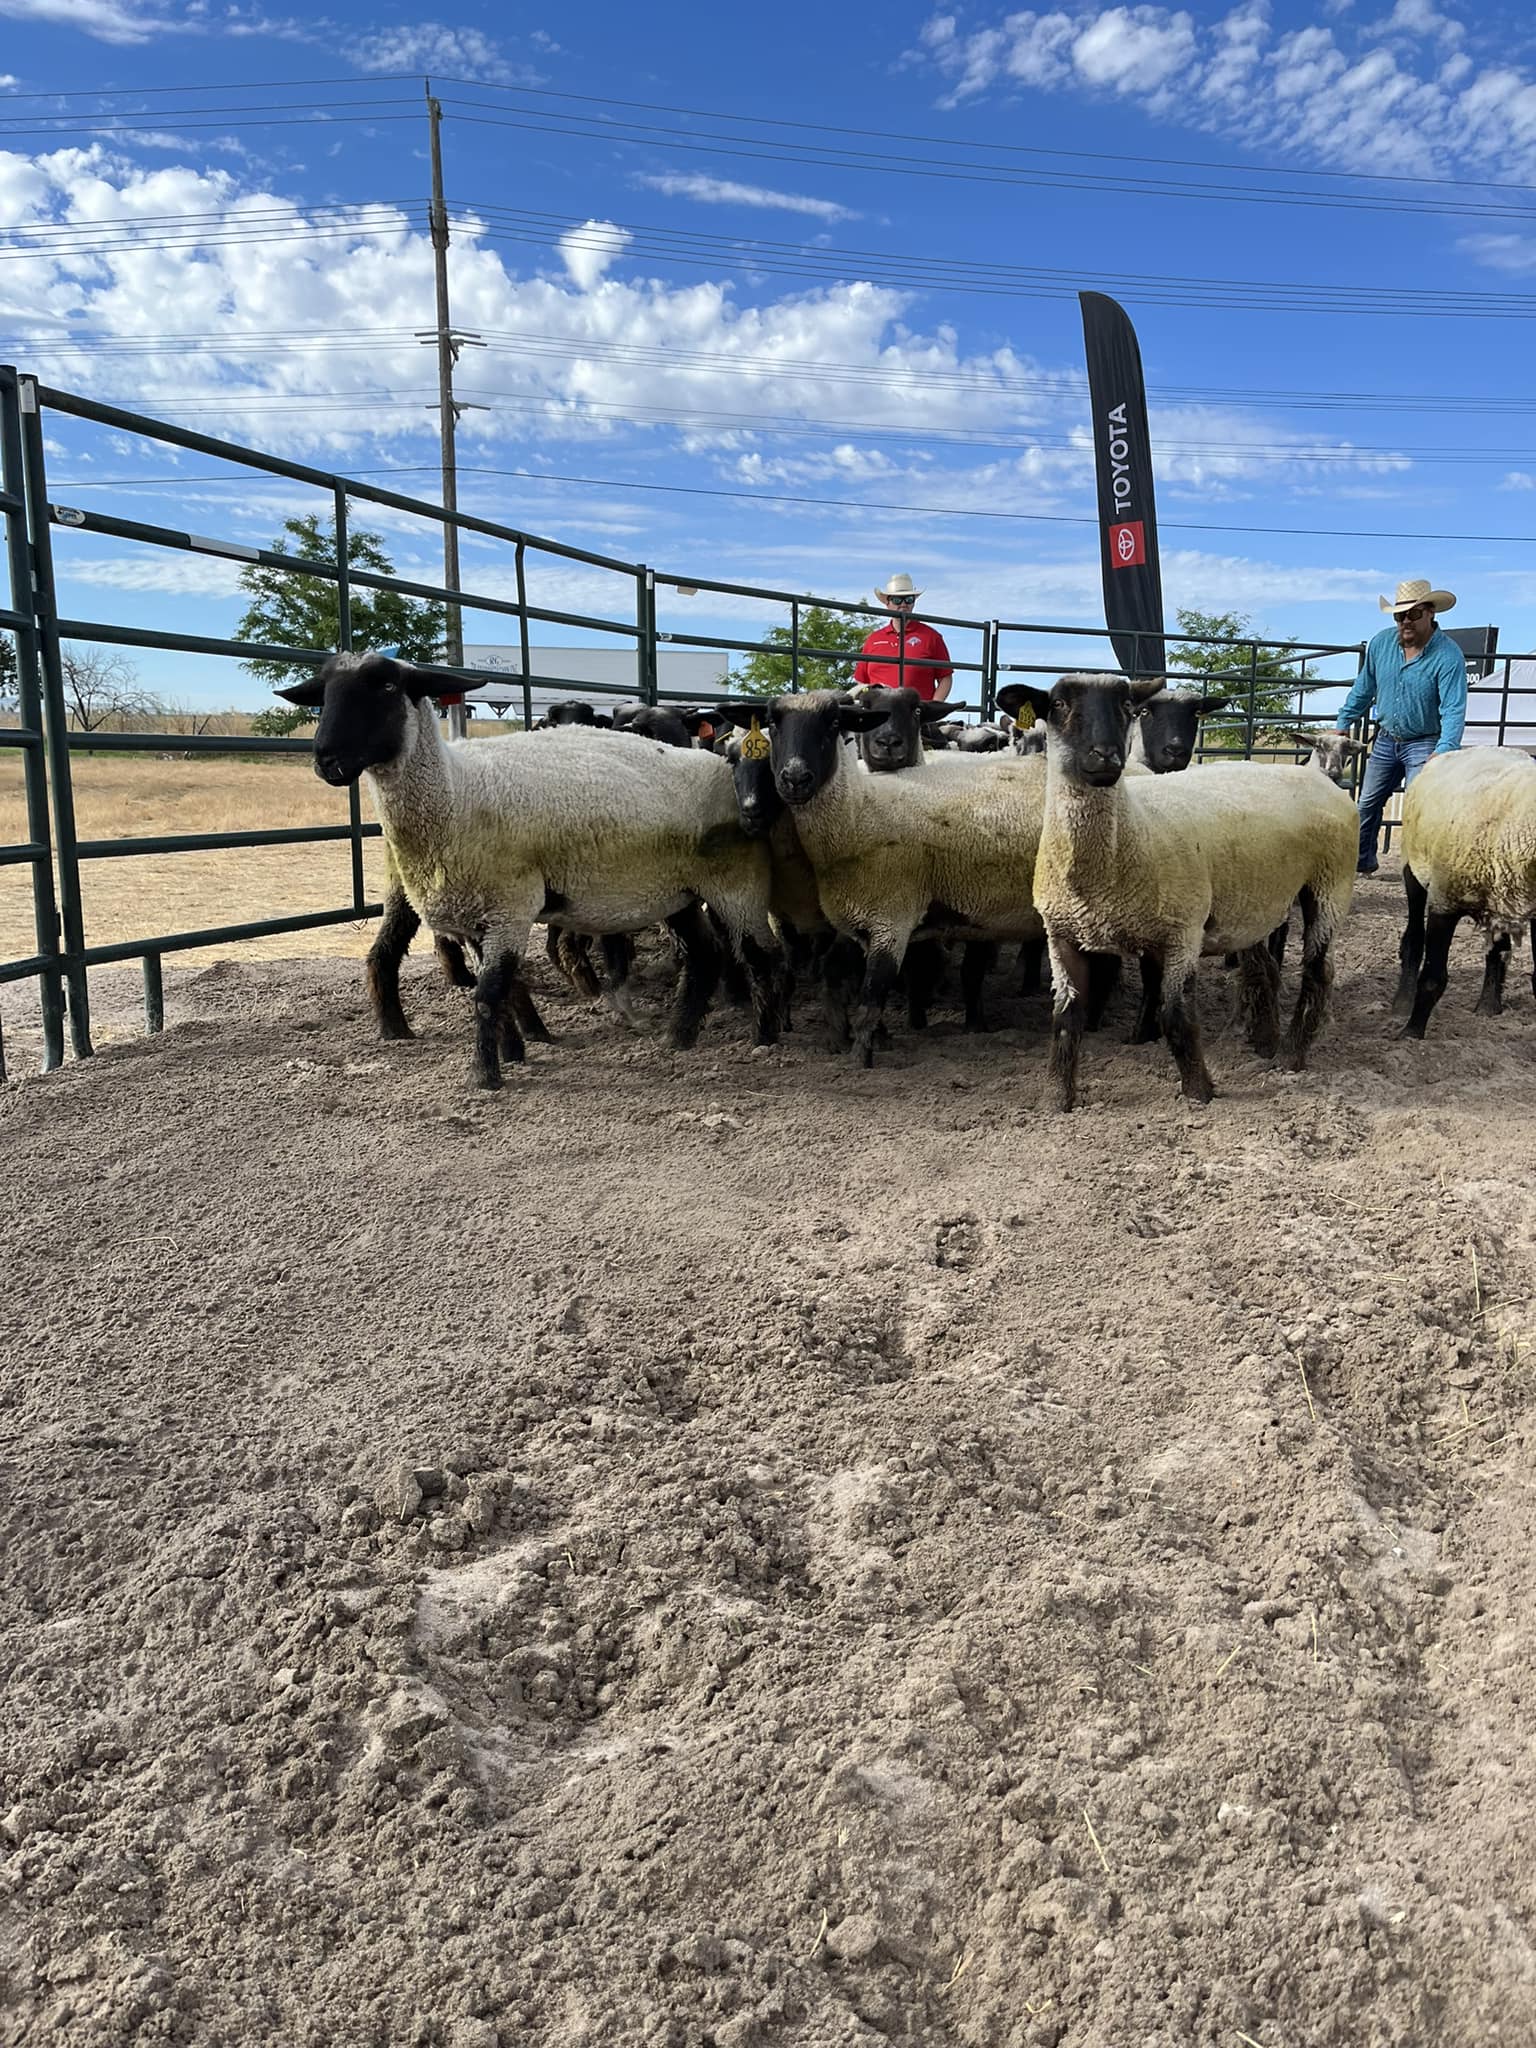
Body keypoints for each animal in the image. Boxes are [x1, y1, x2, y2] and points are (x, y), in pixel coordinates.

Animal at [280, 652, 780, 1089]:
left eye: (386, 686)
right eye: (324, 692)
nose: (325, 760)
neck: (457, 794)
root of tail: (719, 761)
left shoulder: (510, 907)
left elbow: (488, 994)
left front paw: (485, 1076)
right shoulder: (476, 917)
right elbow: (496, 990)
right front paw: (511, 1052)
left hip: (737, 883)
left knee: (759, 953)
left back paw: (766, 1039)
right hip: (678, 890)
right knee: (705, 953)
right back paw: (678, 1038)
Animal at [715, 691, 1049, 1067]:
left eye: (834, 722)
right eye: (772, 721)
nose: (795, 778)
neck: (860, 812)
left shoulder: (893, 920)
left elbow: (872, 997)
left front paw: (861, 1058)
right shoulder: (856, 925)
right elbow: (843, 982)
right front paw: (847, 1040)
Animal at [1001, 673, 1356, 1111]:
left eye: (1128, 707)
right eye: (1059, 704)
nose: (1106, 757)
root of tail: (1319, 780)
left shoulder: (1183, 932)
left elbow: (1176, 1014)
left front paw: (1199, 1091)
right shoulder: (1062, 935)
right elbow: (1066, 1018)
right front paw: (1056, 1099)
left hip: (1330, 884)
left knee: (1318, 970)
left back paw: (1291, 1055)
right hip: (1254, 903)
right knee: (1265, 970)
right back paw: (1265, 1043)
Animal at [1394, 747, 1536, 1037]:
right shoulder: (1444, 901)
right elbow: (1432, 978)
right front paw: (1411, 1034)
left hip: (1501, 901)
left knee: (1498, 952)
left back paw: (1488, 1007)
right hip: (1413, 868)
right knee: (1413, 938)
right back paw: (1402, 1001)